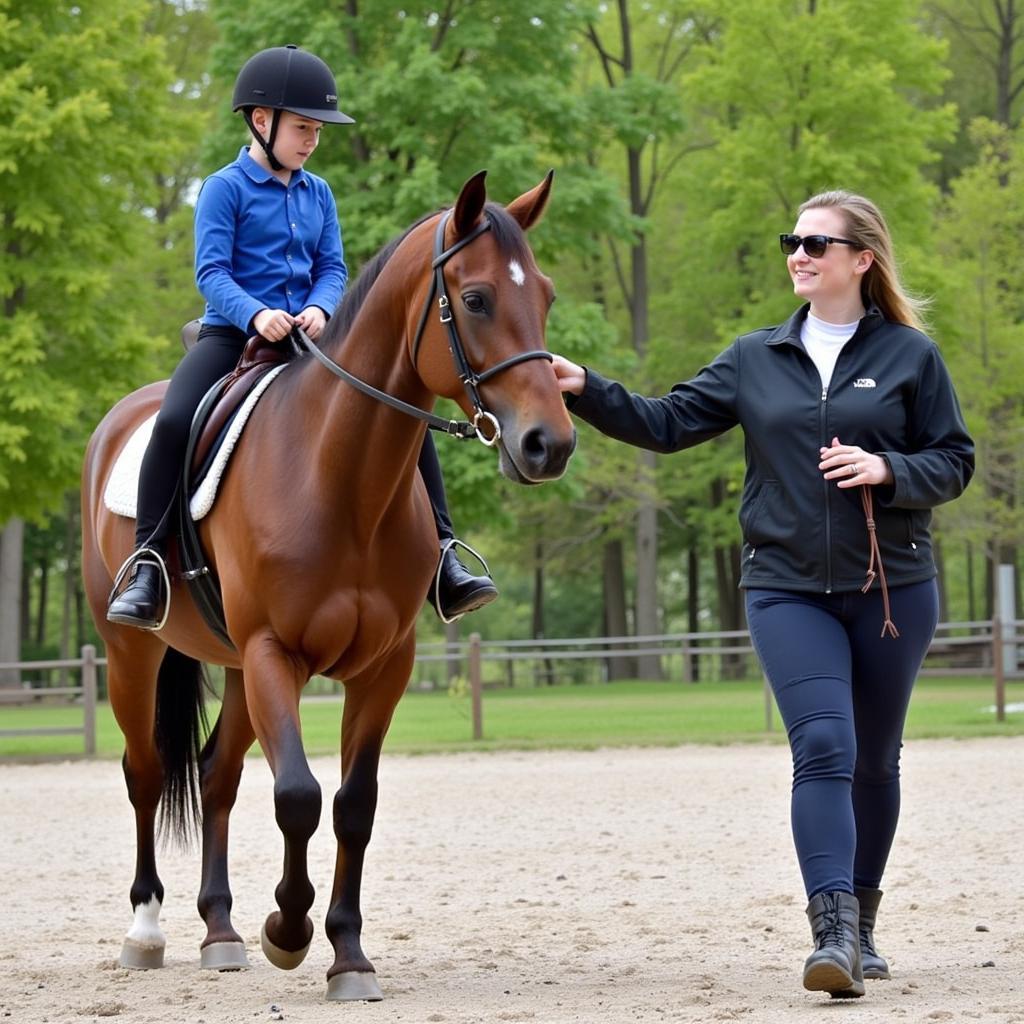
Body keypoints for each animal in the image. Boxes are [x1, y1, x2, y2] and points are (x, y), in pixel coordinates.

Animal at [77, 174, 577, 999]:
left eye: (544, 293)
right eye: (474, 300)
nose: (550, 444)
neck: (337, 477)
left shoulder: (383, 667)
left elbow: (353, 805)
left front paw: (346, 952)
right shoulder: (275, 653)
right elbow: (298, 796)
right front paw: (289, 930)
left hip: (235, 669)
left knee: (214, 775)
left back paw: (220, 930)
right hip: (133, 654)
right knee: (145, 773)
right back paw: (146, 930)